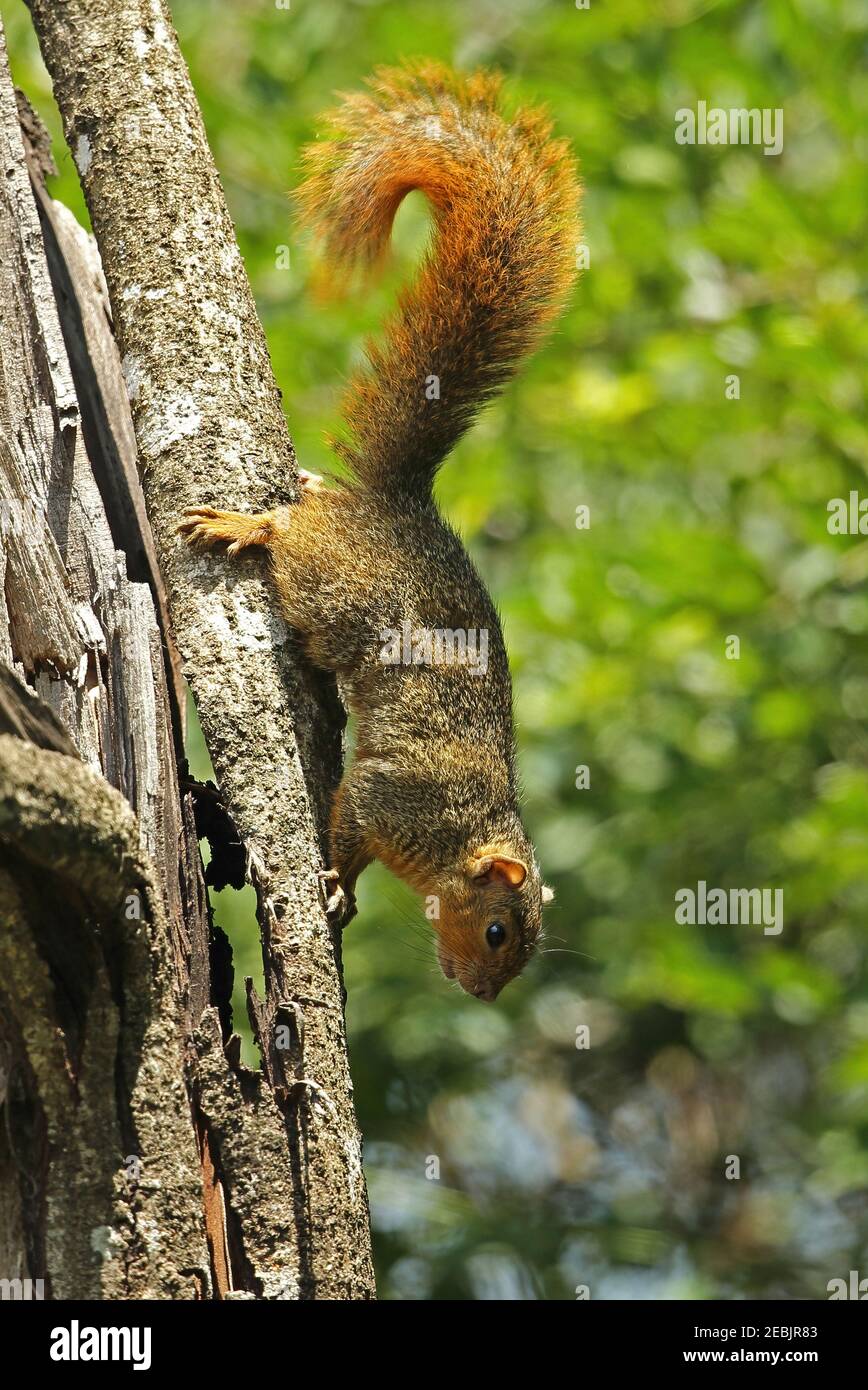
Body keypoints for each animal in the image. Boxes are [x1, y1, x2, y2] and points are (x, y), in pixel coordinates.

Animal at [177, 62, 578, 1000]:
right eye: (498, 931)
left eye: (521, 949)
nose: (480, 991)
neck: (461, 837)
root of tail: (397, 505)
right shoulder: (393, 798)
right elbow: (351, 827)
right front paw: (337, 888)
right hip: (330, 586)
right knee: (286, 533)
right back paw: (245, 520)